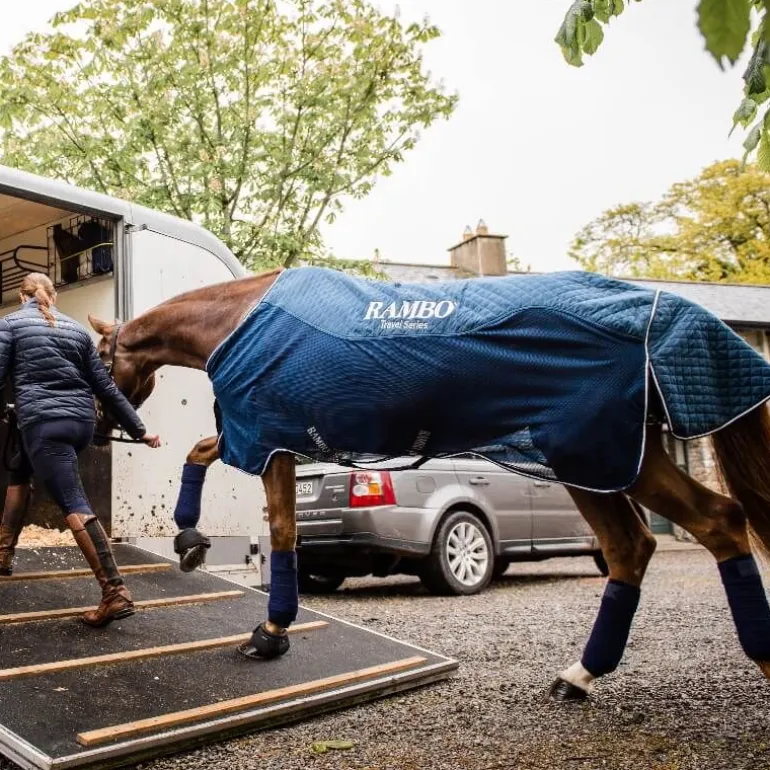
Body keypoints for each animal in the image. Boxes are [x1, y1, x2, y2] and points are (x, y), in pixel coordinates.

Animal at [88, 266, 770, 702]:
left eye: (96, 361)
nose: (98, 430)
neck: (239, 319)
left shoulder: (267, 438)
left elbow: (272, 523)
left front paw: (266, 626)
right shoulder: (272, 441)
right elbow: (211, 465)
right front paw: (194, 546)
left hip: (601, 459)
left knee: (716, 524)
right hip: (599, 465)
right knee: (634, 547)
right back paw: (578, 677)